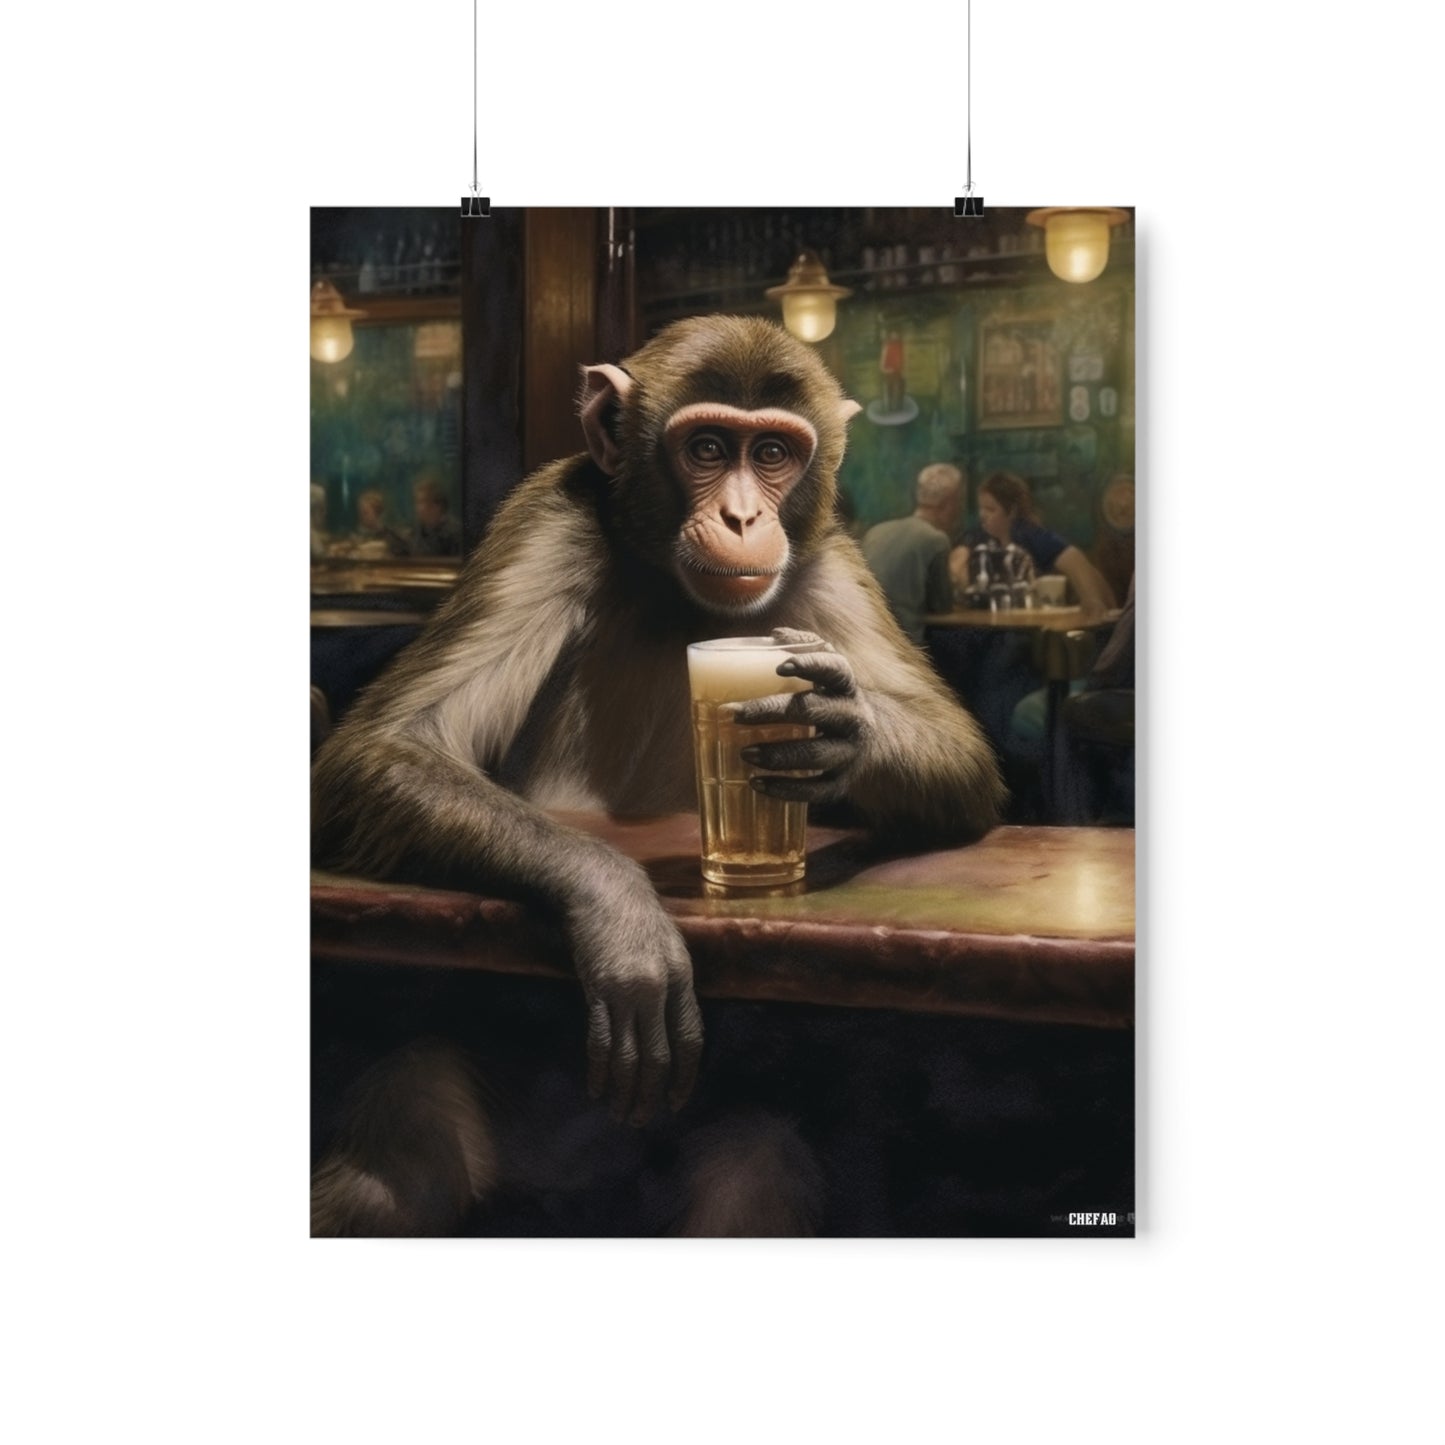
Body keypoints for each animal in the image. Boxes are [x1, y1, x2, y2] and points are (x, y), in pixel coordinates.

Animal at [311, 314, 1006, 1235]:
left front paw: (839, 730)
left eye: (773, 453)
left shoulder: (830, 563)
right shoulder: (544, 523)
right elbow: (394, 741)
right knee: (396, 1151)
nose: (744, 513)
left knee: (755, 1171)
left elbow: (960, 756)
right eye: (707, 447)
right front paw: (621, 911)